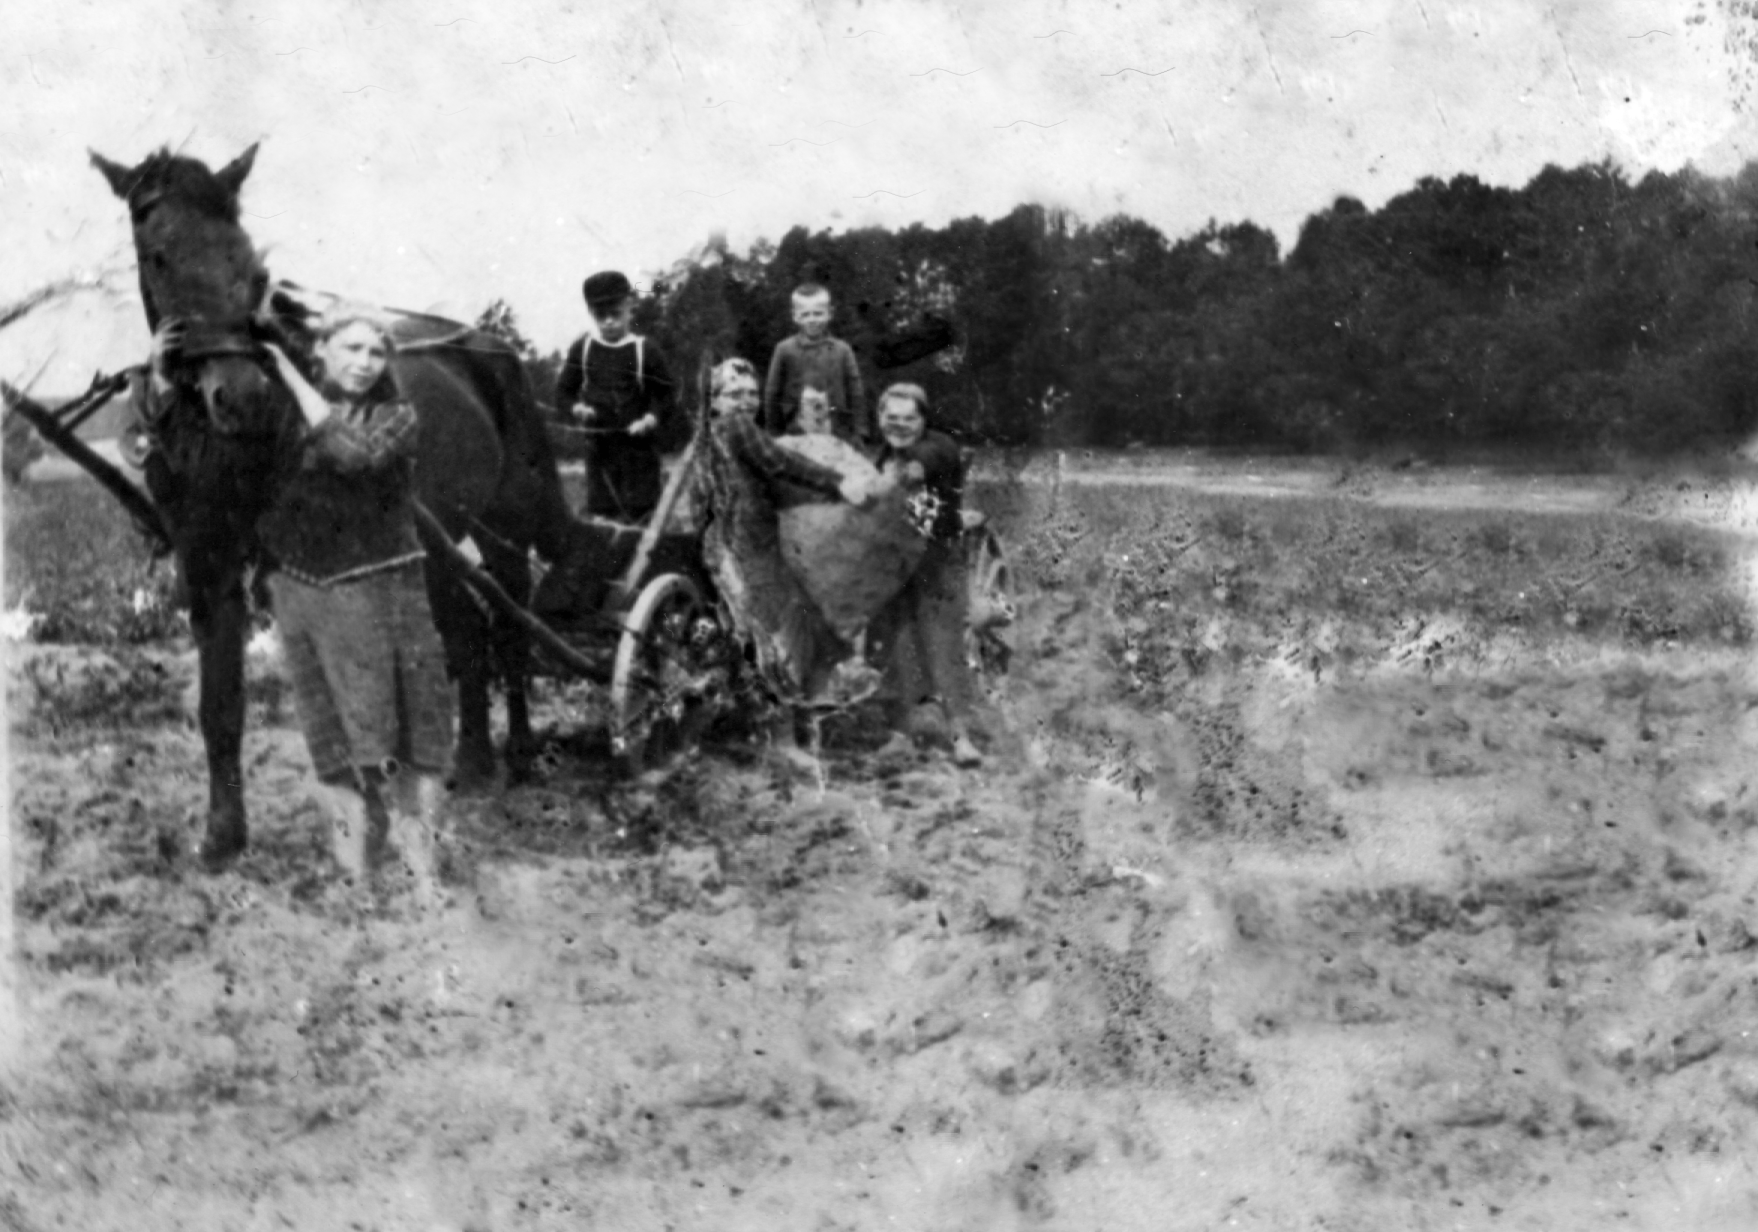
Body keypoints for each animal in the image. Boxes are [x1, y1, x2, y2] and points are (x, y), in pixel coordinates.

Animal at [90, 144, 576, 868]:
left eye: (250, 260)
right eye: (158, 255)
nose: (240, 397)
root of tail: (485, 345)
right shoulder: (205, 559)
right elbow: (221, 699)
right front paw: (224, 833)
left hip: (506, 525)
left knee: (511, 622)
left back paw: (514, 753)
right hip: (436, 540)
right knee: (465, 632)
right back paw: (469, 762)